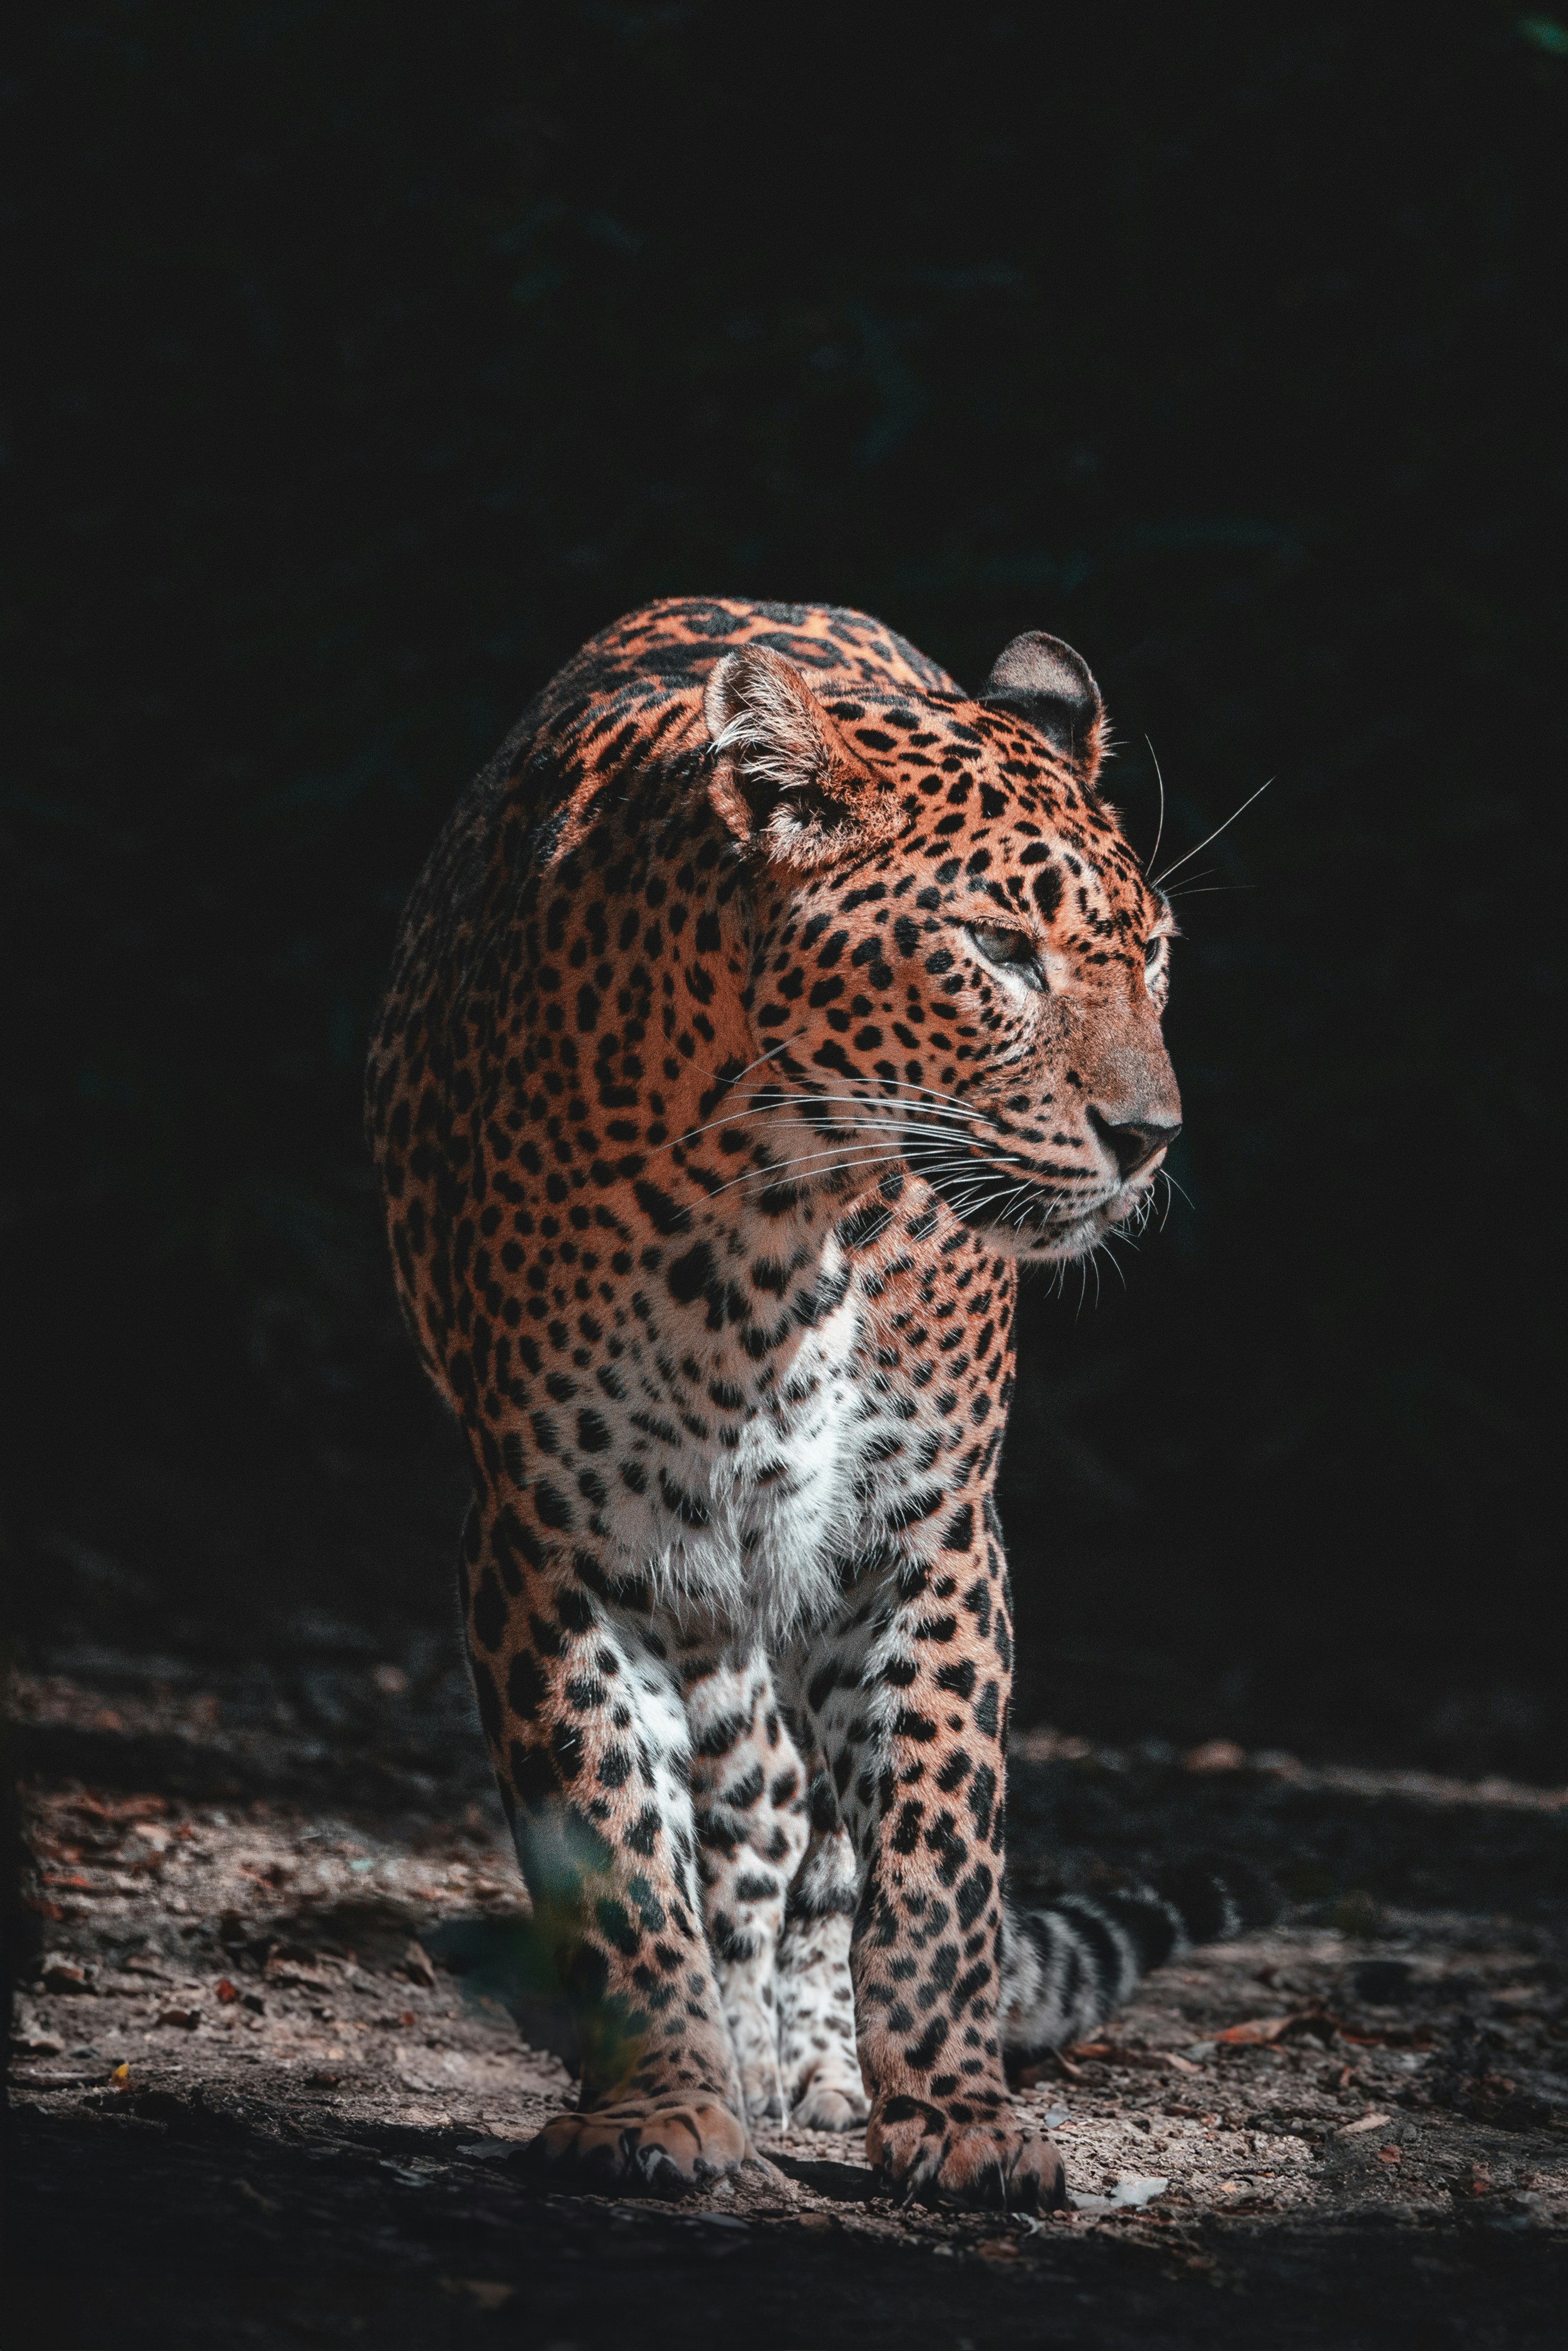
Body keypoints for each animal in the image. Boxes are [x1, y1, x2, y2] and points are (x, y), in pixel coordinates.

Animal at [365, 596, 1269, 2210]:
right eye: (996, 949)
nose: (1149, 1136)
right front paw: (658, 2099)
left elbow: (931, 1856)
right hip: (705, 1579)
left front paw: (956, 2117)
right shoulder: (549, 1539)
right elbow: (611, 1837)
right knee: (749, 1797)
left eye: (1153, 956)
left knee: (815, 1831)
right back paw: (736, 2043)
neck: (780, 1216)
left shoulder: (925, 1532)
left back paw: (820, 2062)